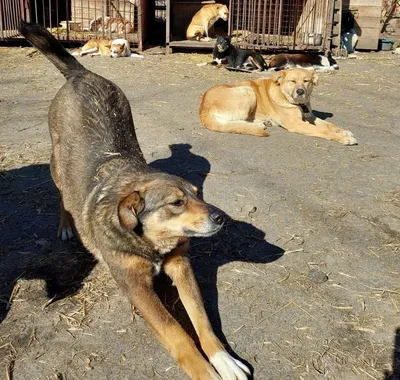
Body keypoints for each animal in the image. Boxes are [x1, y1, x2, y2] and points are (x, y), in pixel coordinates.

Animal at [18, 22, 252, 380]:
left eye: (198, 194)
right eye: (176, 203)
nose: (221, 217)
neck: (151, 243)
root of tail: (81, 73)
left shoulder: (182, 267)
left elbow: (202, 322)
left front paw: (223, 359)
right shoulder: (136, 287)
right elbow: (177, 333)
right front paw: (205, 372)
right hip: (57, 162)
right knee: (62, 195)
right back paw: (66, 225)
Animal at [198, 67, 358, 145]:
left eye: (306, 81)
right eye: (292, 81)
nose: (300, 91)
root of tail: (203, 106)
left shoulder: (309, 117)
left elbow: (330, 125)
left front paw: (344, 132)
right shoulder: (296, 123)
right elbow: (323, 130)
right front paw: (344, 138)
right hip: (247, 91)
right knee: (233, 123)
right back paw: (258, 125)